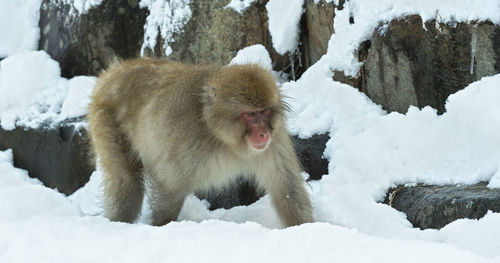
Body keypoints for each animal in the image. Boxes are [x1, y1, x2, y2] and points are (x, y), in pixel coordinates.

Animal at [87, 58, 312, 228]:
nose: (263, 134)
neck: (218, 134)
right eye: (250, 114)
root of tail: (114, 71)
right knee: (126, 181)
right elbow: (168, 185)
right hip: (105, 118)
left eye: (264, 112)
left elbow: (287, 188)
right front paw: (162, 226)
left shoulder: (276, 139)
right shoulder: (183, 139)